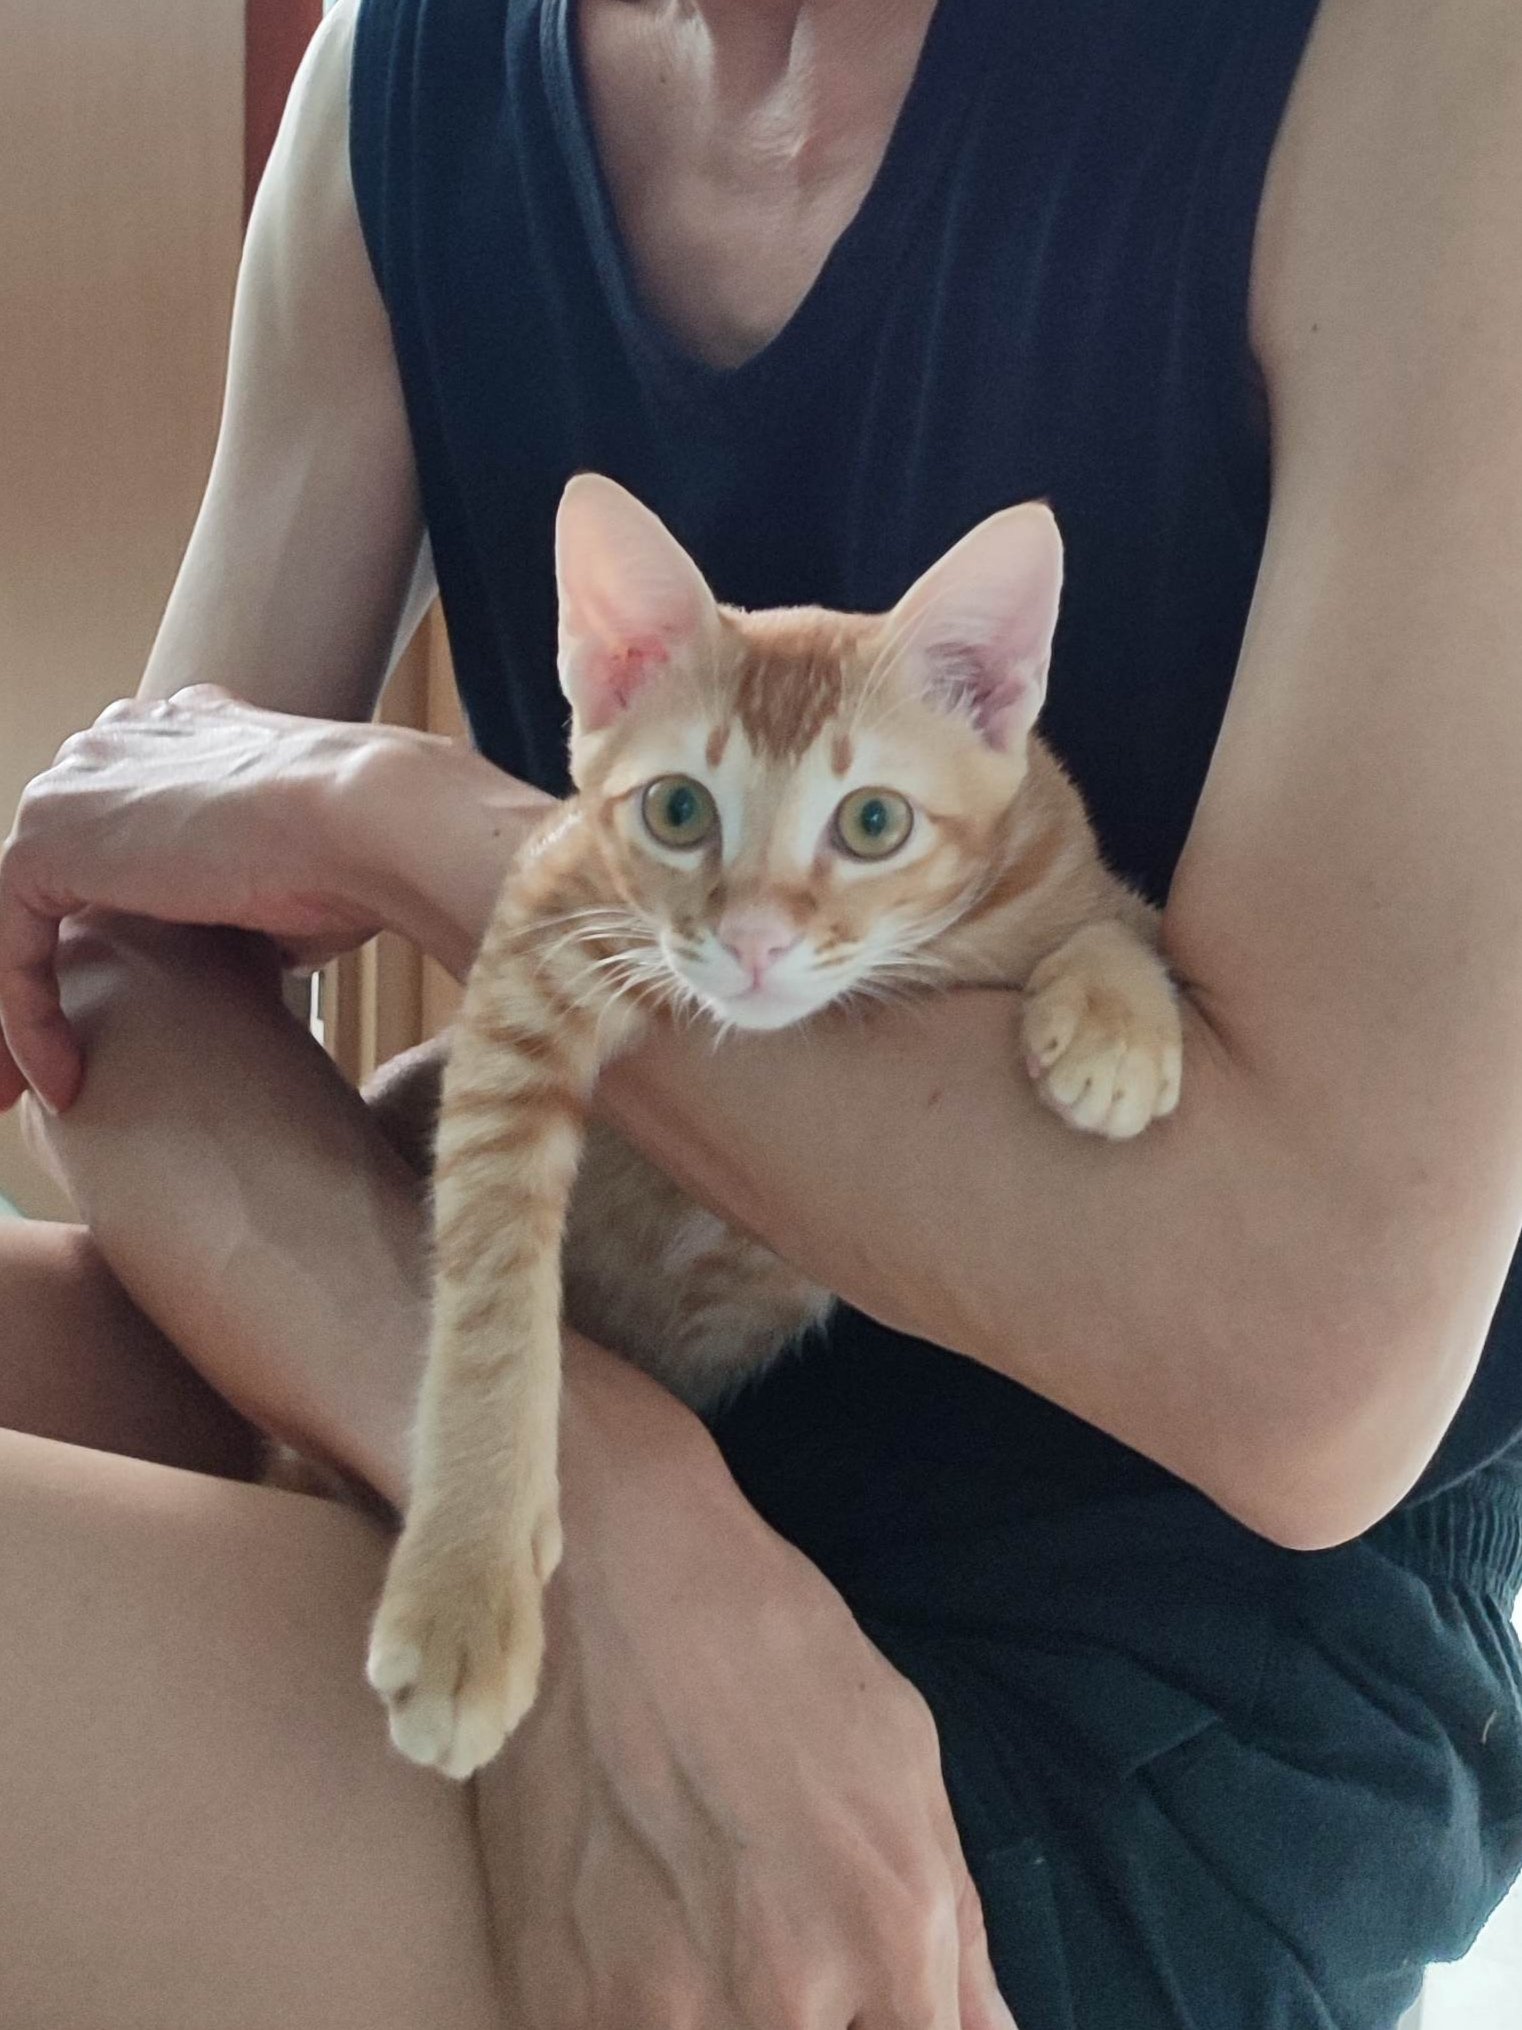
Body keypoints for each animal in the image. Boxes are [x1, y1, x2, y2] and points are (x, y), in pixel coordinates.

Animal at [366, 473, 1182, 1779]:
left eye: (872, 823)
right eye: (677, 808)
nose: (751, 940)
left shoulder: (1063, 863)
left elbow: (1120, 918)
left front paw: (1115, 1019)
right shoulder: (542, 932)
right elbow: (490, 1301)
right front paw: (462, 1590)